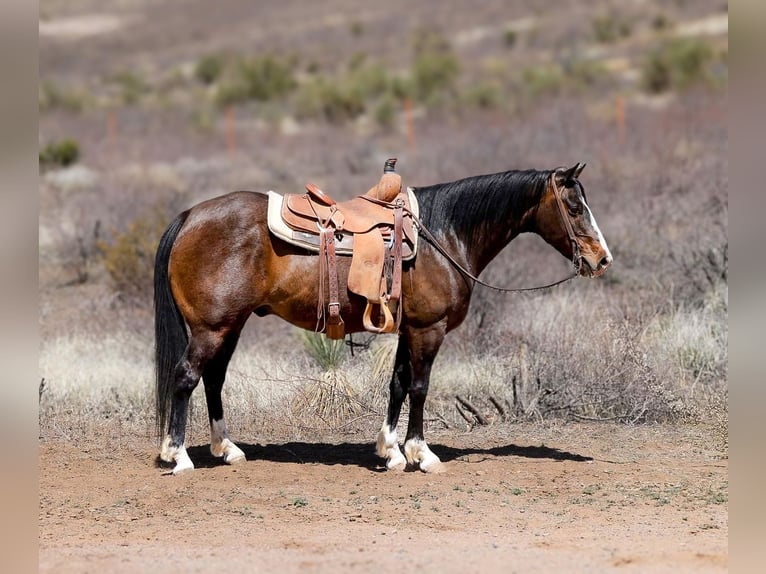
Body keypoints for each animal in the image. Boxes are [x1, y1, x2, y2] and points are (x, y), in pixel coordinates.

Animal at [154, 162, 612, 474]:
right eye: (574, 207)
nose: (602, 259)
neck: (443, 235)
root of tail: (189, 217)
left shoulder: (408, 330)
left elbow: (397, 384)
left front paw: (390, 450)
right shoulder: (429, 330)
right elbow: (421, 388)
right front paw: (421, 453)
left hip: (230, 324)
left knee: (213, 379)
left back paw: (227, 449)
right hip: (211, 328)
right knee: (185, 377)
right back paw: (177, 455)